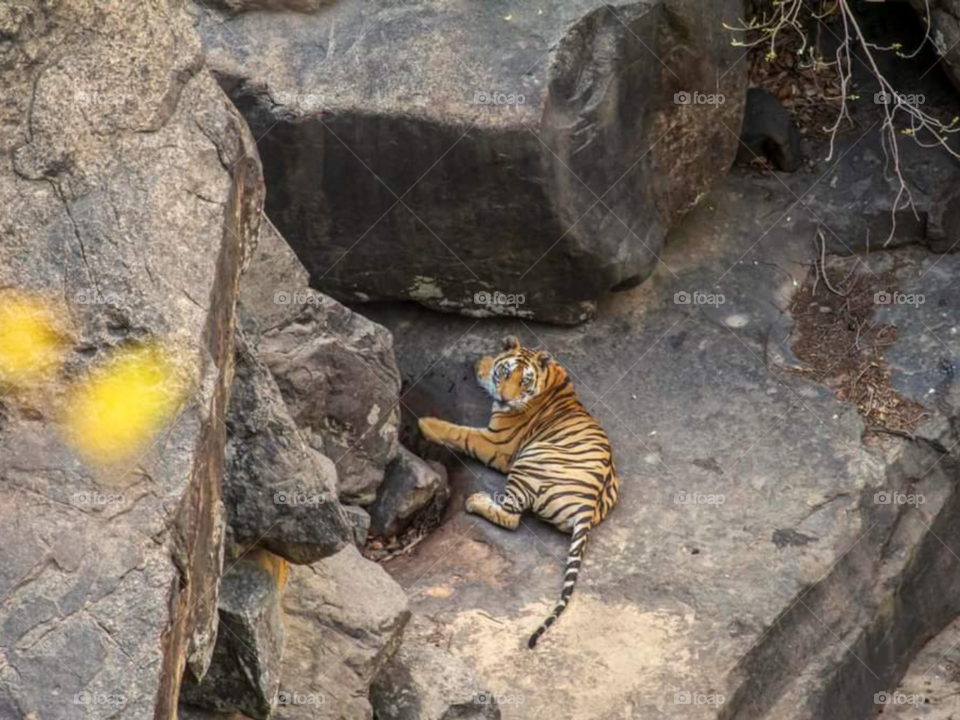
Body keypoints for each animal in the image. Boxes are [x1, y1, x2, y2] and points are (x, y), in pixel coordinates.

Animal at [418, 335, 619, 648]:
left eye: (524, 381)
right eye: (505, 373)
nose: (504, 399)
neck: (551, 380)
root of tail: (588, 506)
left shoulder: (495, 443)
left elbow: (461, 433)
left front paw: (426, 423)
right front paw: (483, 364)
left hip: (530, 461)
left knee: (512, 517)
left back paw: (476, 500)